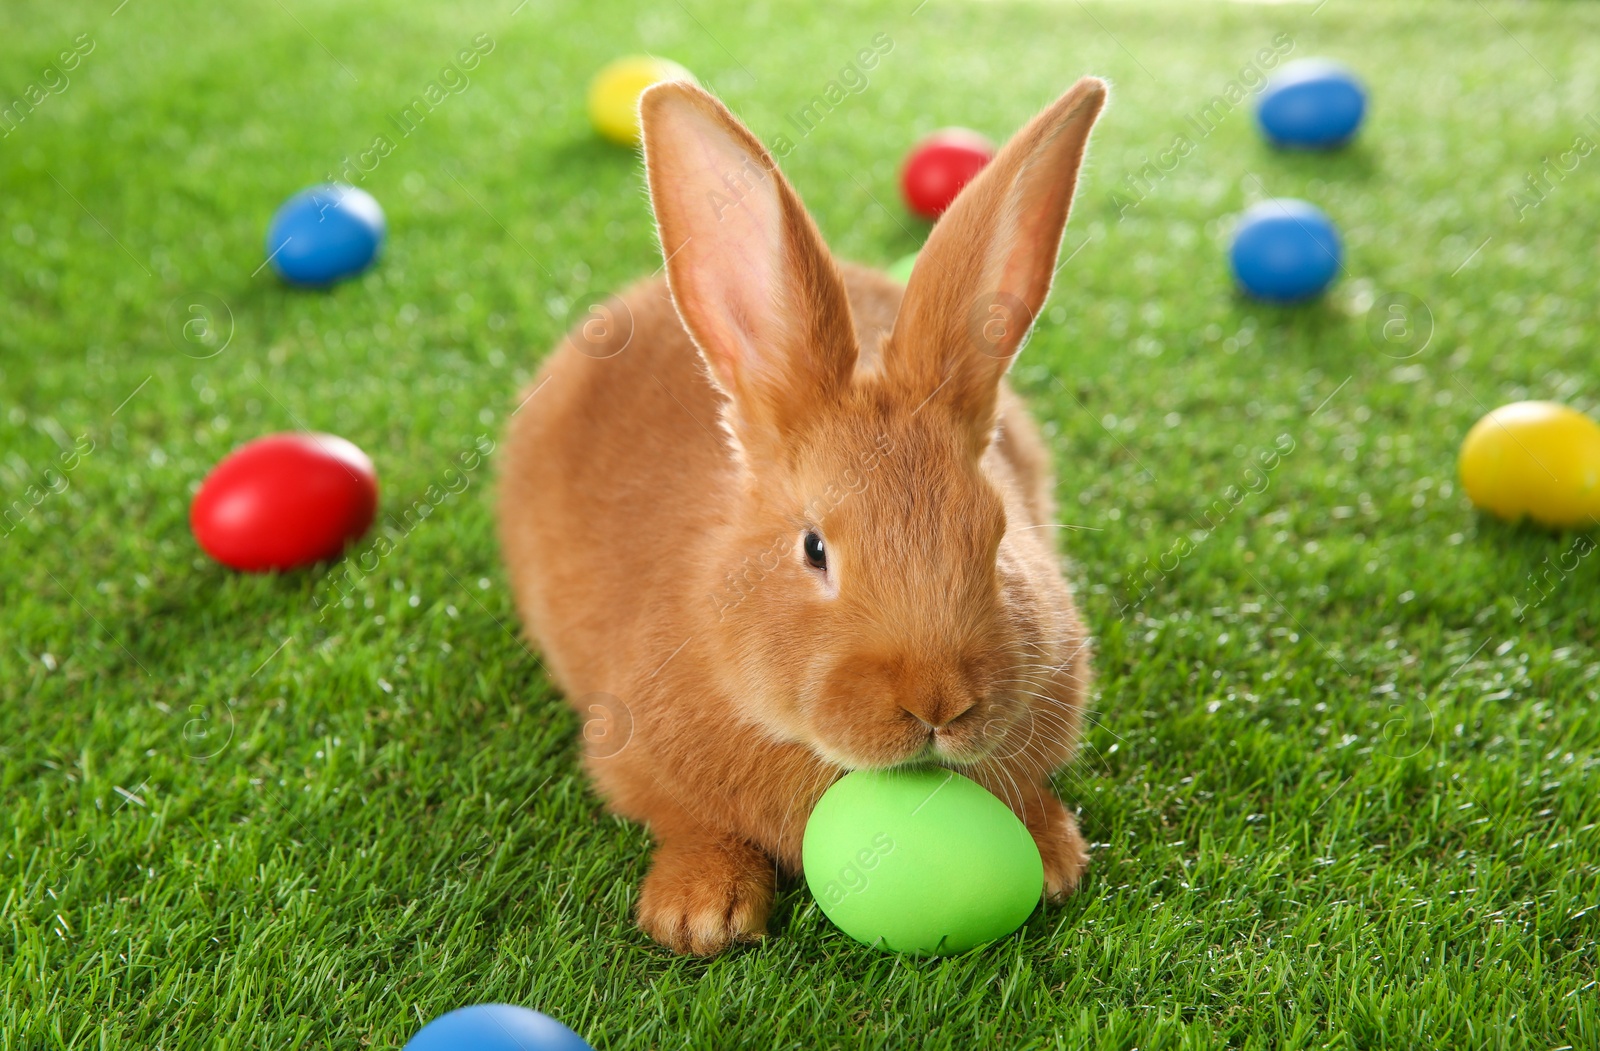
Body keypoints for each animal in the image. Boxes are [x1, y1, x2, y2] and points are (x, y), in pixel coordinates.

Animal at [502, 77, 1113, 953]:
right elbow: (683, 820)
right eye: (814, 548)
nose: (938, 703)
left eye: (997, 538)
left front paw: (1055, 854)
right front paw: (700, 912)